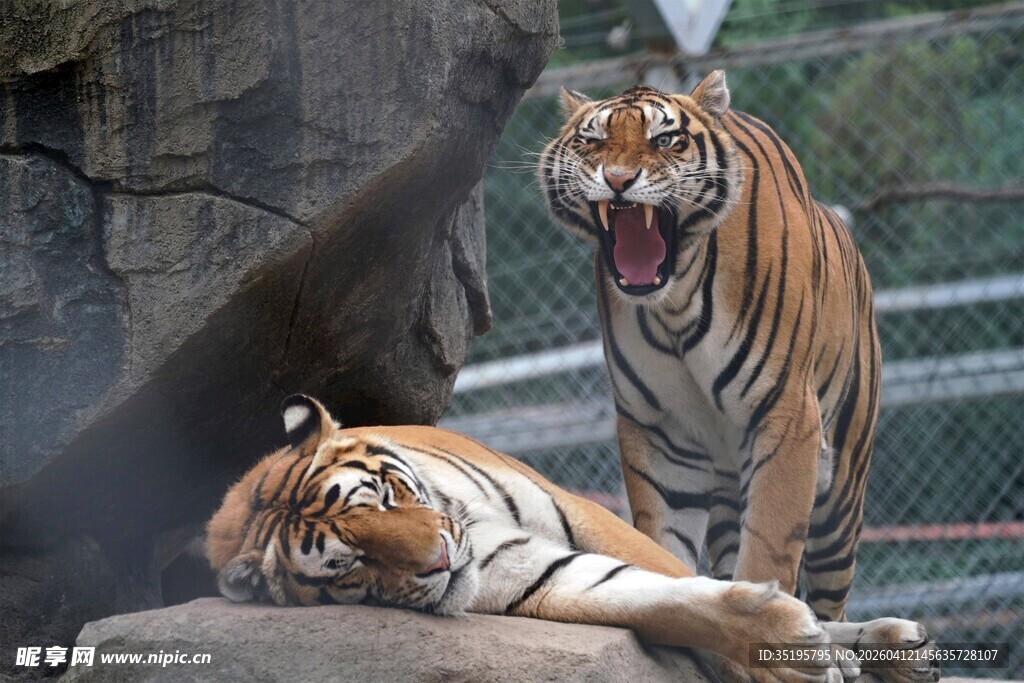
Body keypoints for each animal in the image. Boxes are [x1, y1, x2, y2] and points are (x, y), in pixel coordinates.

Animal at [207, 395, 938, 683]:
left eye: (386, 496)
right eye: (351, 565)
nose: (439, 559)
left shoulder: (585, 514)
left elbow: (675, 573)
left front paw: (797, 655)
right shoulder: (534, 574)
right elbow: (655, 599)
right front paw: (785, 652)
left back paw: (899, 648)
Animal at [538, 70, 880, 625]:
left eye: (664, 140)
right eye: (592, 141)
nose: (618, 180)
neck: (675, 301)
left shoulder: (787, 418)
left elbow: (768, 550)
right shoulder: (660, 432)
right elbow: (661, 543)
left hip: (842, 486)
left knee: (833, 603)